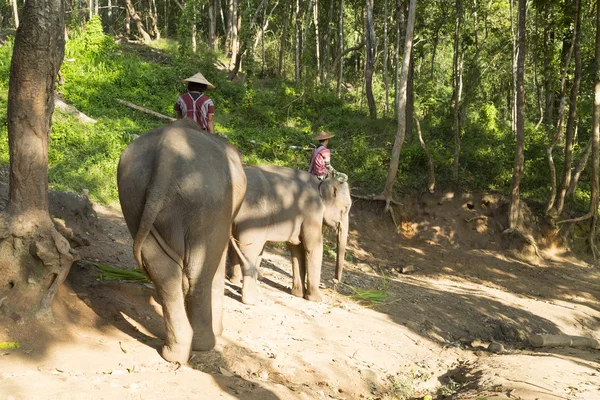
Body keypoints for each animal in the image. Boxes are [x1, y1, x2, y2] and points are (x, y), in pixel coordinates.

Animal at [116, 118, 247, 362]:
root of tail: (165, 159)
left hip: (132, 196)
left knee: (161, 269)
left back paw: (174, 353)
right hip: (208, 202)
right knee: (200, 272)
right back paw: (204, 344)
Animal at [230, 165, 352, 304]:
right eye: (346, 208)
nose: (334, 281)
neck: (321, 182)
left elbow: (296, 249)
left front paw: (298, 294)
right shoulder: (312, 211)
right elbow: (313, 247)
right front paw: (317, 299)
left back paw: (235, 282)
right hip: (252, 217)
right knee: (250, 249)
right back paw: (251, 299)